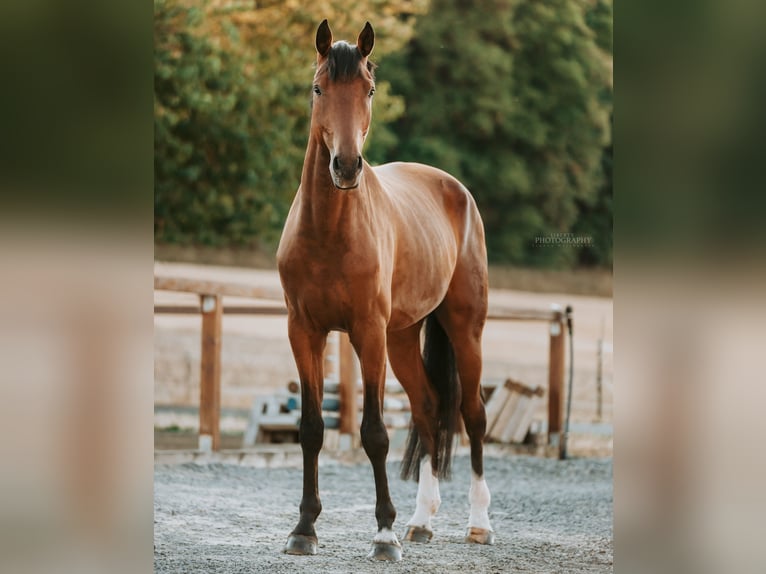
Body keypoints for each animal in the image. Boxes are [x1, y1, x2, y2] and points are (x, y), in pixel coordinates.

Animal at [276, 20, 494, 561]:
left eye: (369, 90)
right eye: (319, 88)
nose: (346, 166)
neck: (330, 231)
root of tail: (455, 189)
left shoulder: (367, 333)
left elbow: (374, 433)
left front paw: (383, 534)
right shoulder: (304, 332)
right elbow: (311, 429)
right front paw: (304, 529)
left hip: (465, 329)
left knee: (472, 415)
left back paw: (478, 524)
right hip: (402, 338)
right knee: (430, 409)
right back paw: (421, 522)